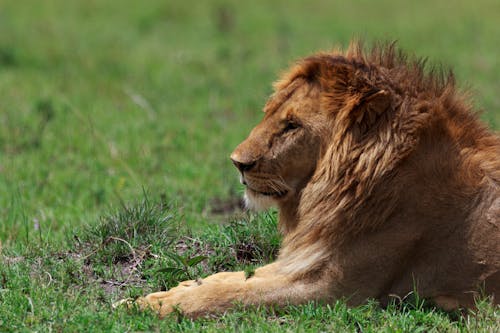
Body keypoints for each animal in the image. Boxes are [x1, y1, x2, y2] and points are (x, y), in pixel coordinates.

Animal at [138, 41, 500, 316]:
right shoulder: (305, 259)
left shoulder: (332, 289)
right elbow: (235, 278)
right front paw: (177, 288)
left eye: (292, 125)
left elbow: (236, 293)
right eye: (268, 113)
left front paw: (148, 304)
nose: (237, 163)